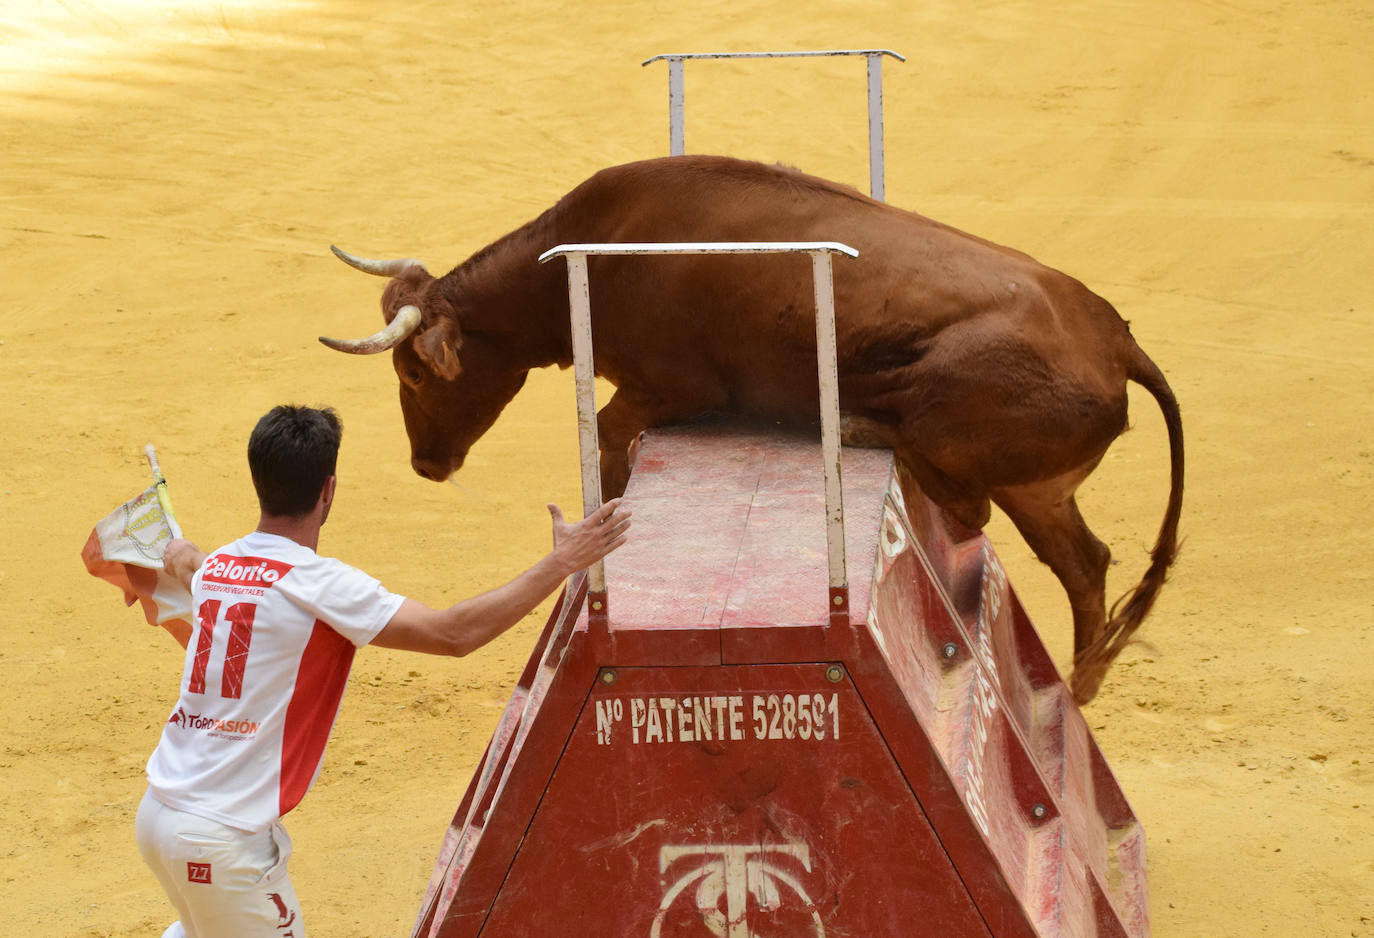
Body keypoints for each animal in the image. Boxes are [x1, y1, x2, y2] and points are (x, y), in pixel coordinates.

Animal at [321, 153, 1181, 700]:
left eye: (413, 374)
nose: (427, 464)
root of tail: (1118, 342)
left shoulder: (670, 388)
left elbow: (610, 433)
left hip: (942, 416)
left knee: (966, 503)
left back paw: (858, 424)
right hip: (1041, 492)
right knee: (1086, 565)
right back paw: (1079, 686)